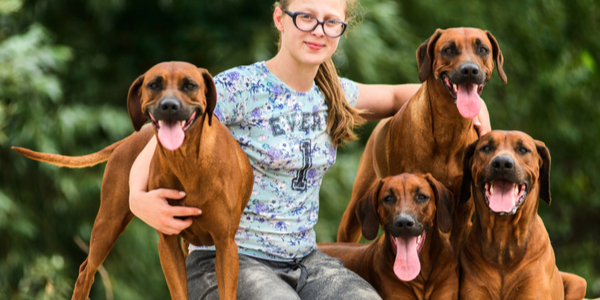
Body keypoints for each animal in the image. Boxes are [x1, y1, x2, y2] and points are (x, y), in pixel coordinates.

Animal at [13, 61, 253, 300]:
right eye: (154, 85)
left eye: (190, 85)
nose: (169, 106)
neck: (185, 162)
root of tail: (127, 140)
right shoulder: (168, 242)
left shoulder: (225, 245)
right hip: (108, 223)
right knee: (85, 272)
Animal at [338, 27, 506, 255]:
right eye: (448, 50)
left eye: (483, 49)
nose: (470, 70)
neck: (449, 128)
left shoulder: (461, 213)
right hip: (356, 209)